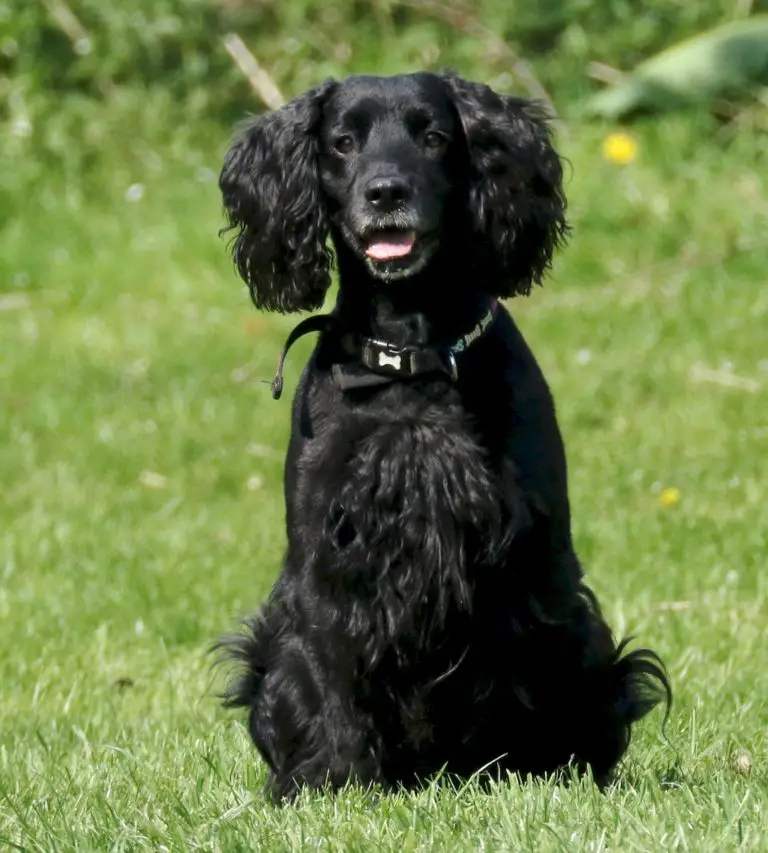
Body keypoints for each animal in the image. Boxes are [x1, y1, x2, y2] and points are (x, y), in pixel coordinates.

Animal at [214, 71, 664, 800]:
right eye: (343, 142)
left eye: (432, 136)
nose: (385, 191)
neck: (412, 356)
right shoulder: (325, 554)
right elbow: (328, 668)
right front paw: (333, 783)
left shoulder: (530, 557)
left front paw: (532, 775)